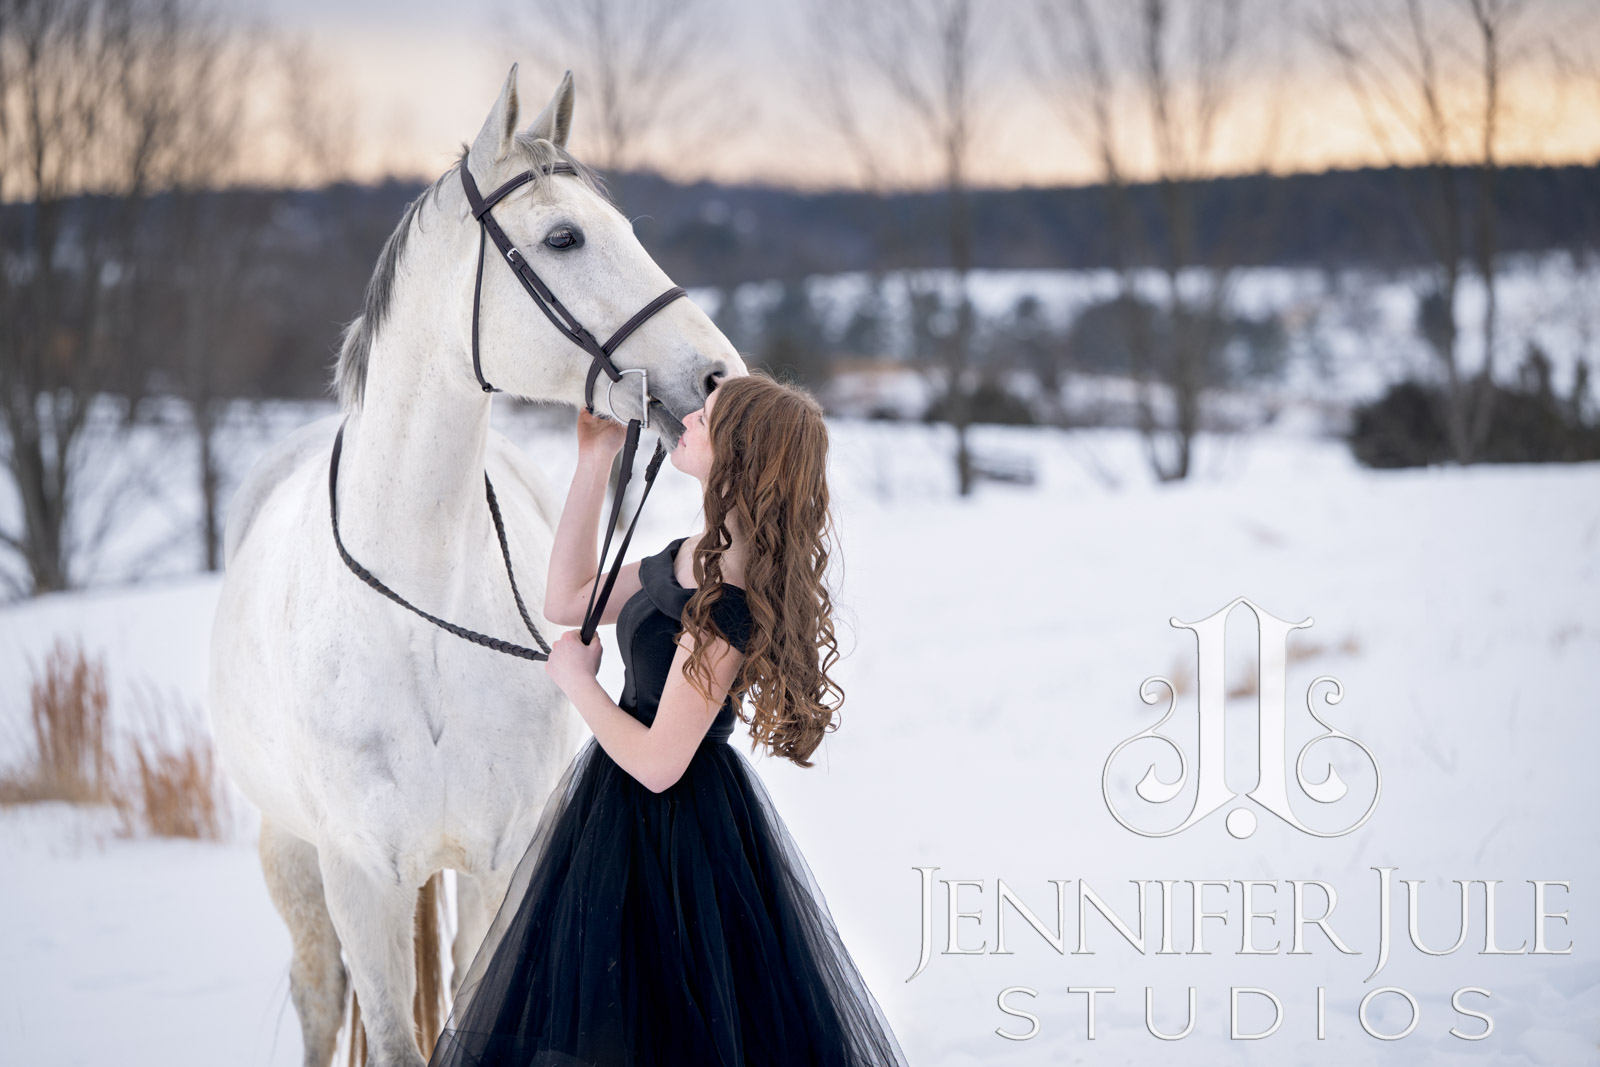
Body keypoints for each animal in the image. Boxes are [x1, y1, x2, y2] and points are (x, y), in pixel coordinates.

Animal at [208, 65, 743, 1067]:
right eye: (564, 236)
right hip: (288, 854)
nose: (717, 377)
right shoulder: (358, 879)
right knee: (317, 998)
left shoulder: (499, 862)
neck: (415, 610)